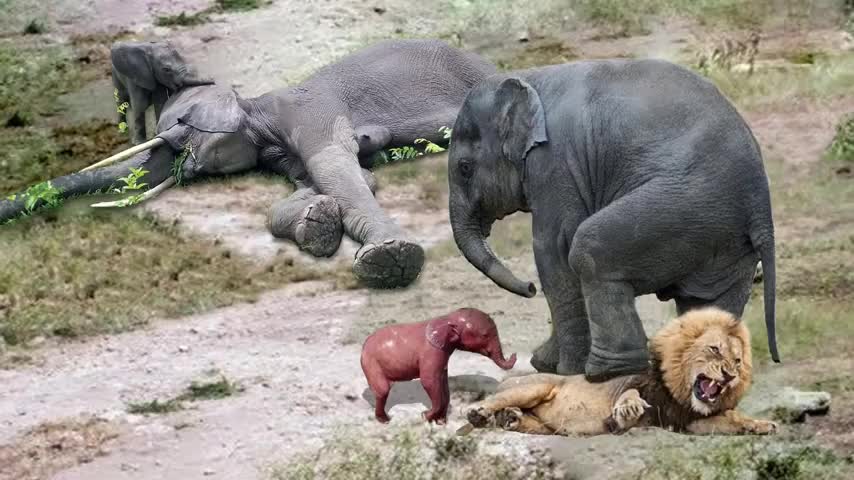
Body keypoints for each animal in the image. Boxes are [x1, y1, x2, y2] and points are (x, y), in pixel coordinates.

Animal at [1, 40, 494, 288]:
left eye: (181, 128)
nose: (186, 171)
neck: (253, 106)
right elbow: (340, 180)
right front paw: (316, 223)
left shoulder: (308, 112)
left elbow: (339, 171)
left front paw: (392, 260)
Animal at [360, 308, 516, 424]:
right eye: (484, 335)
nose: (514, 354)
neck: (448, 318)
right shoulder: (431, 352)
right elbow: (429, 381)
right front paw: (425, 416)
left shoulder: (443, 354)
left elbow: (442, 383)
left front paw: (440, 422)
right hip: (371, 362)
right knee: (383, 389)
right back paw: (386, 420)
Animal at [448, 60, 784, 380]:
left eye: (464, 168)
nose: (529, 288)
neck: (532, 78)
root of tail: (761, 206)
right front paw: (545, 364)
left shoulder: (555, 164)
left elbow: (553, 250)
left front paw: (561, 369)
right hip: (725, 237)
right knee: (706, 302)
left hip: (684, 207)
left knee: (588, 251)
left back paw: (605, 371)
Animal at [464, 310, 780, 436]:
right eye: (715, 349)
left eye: (737, 361)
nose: (730, 375)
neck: (678, 392)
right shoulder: (632, 384)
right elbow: (629, 393)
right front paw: (628, 410)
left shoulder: (687, 421)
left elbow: (732, 419)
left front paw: (762, 424)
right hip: (532, 387)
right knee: (492, 402)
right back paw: (481, 413)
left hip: (547, 425)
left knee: (527, 421)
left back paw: (511, 419)